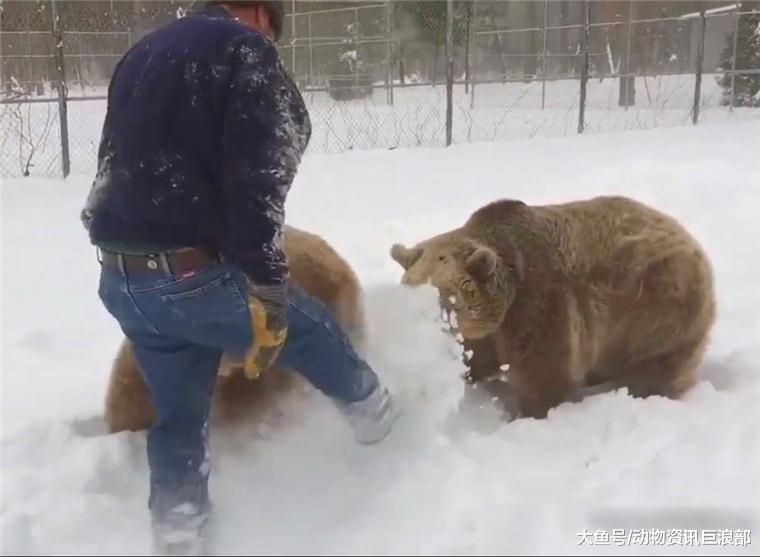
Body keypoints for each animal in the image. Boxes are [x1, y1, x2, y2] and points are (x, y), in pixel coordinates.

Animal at [390, 195, 716, 419]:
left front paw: (531, 412)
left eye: (445, 297)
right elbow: (478, 357)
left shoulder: (539, 303)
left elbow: (543, 371)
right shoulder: (488, 329)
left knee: (657, 365)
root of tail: (695, 244)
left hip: (655, 307)